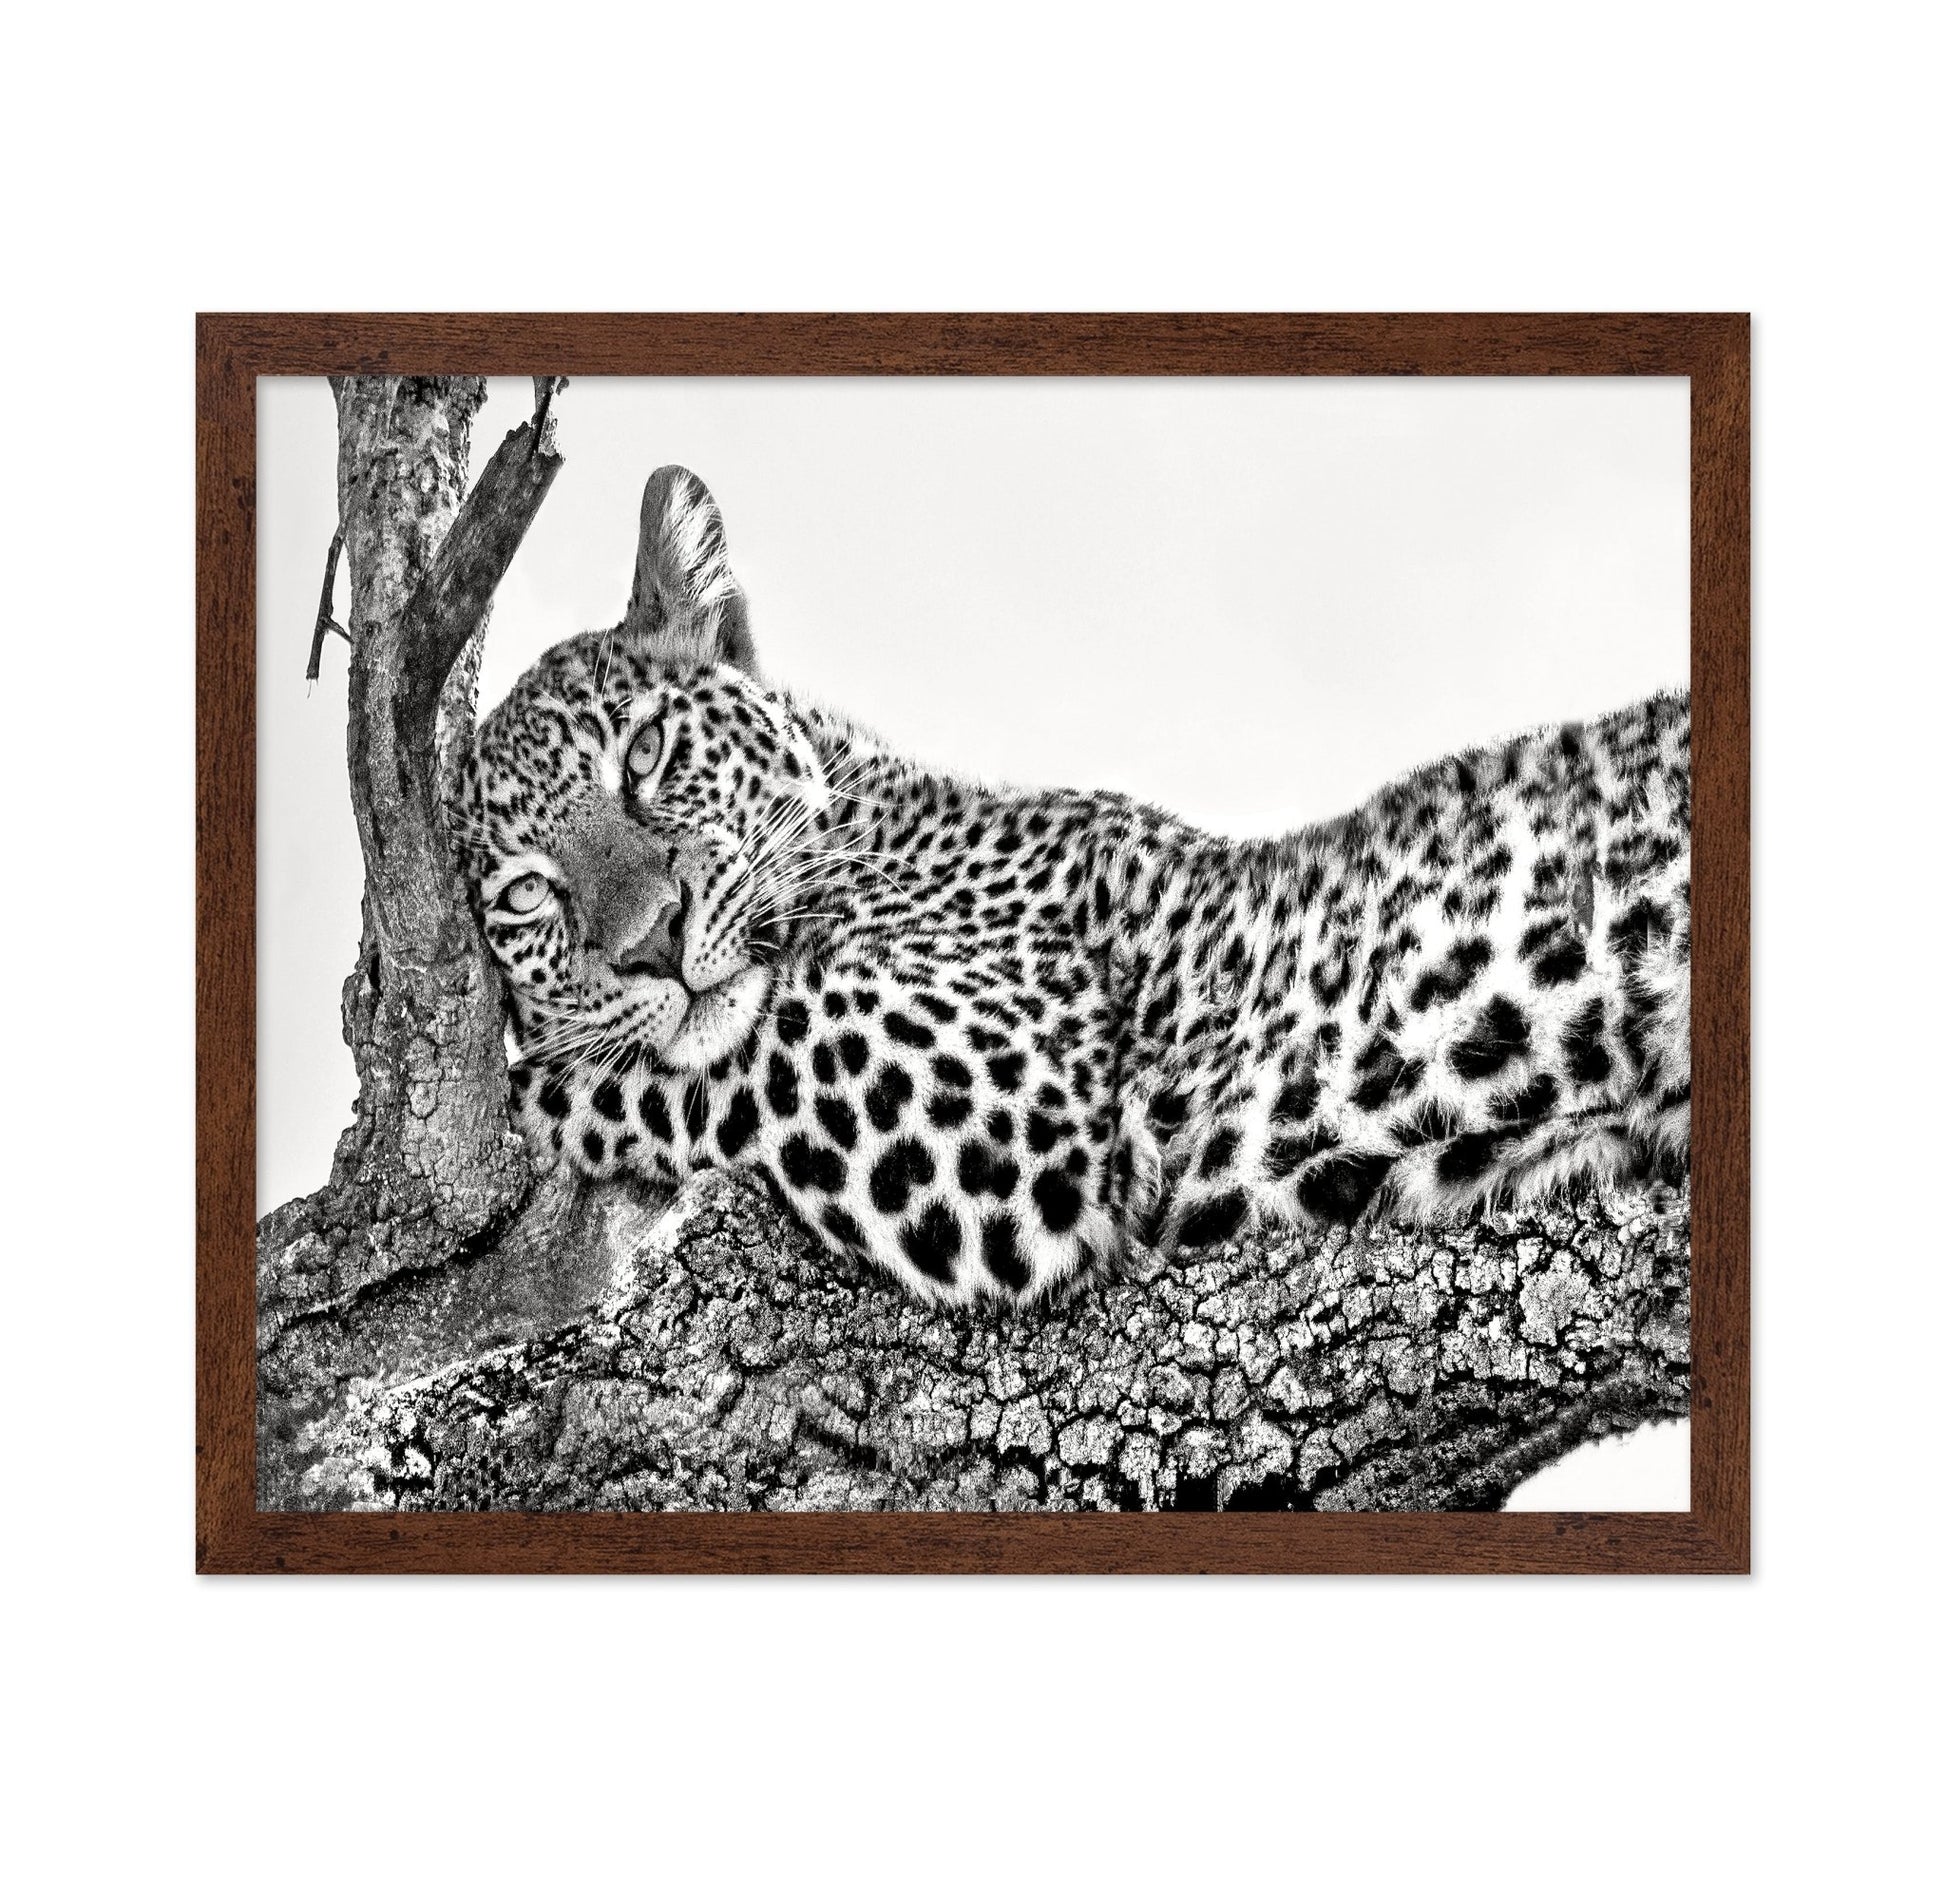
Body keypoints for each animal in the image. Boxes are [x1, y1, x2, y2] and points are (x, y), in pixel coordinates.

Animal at [459, 464, 1691, 1307]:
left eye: (647, 753)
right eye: (524, 895)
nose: (652, 941)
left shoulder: (1005, 1101)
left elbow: (697, 1064)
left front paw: (529, 1090)